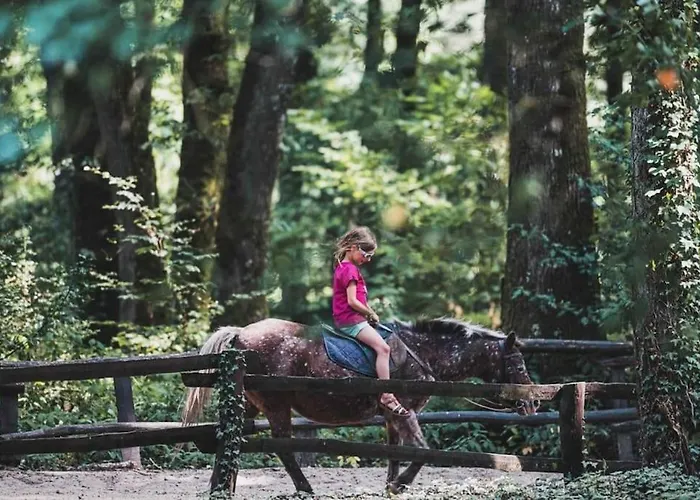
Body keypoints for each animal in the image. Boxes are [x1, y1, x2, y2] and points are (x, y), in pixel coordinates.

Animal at [182, 317, 538, 494]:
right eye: (517, 363)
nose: (533, 402)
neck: (424, 353)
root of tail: (241, 334)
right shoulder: (405, 411)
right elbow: (422, 451)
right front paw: (402, 484)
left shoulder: (392, 417)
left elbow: (396, 452)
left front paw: (392, 484)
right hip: (276, 405)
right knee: (282, 447)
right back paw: (305, 487)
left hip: (250, 404)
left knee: (229, 437)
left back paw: (219, 487)